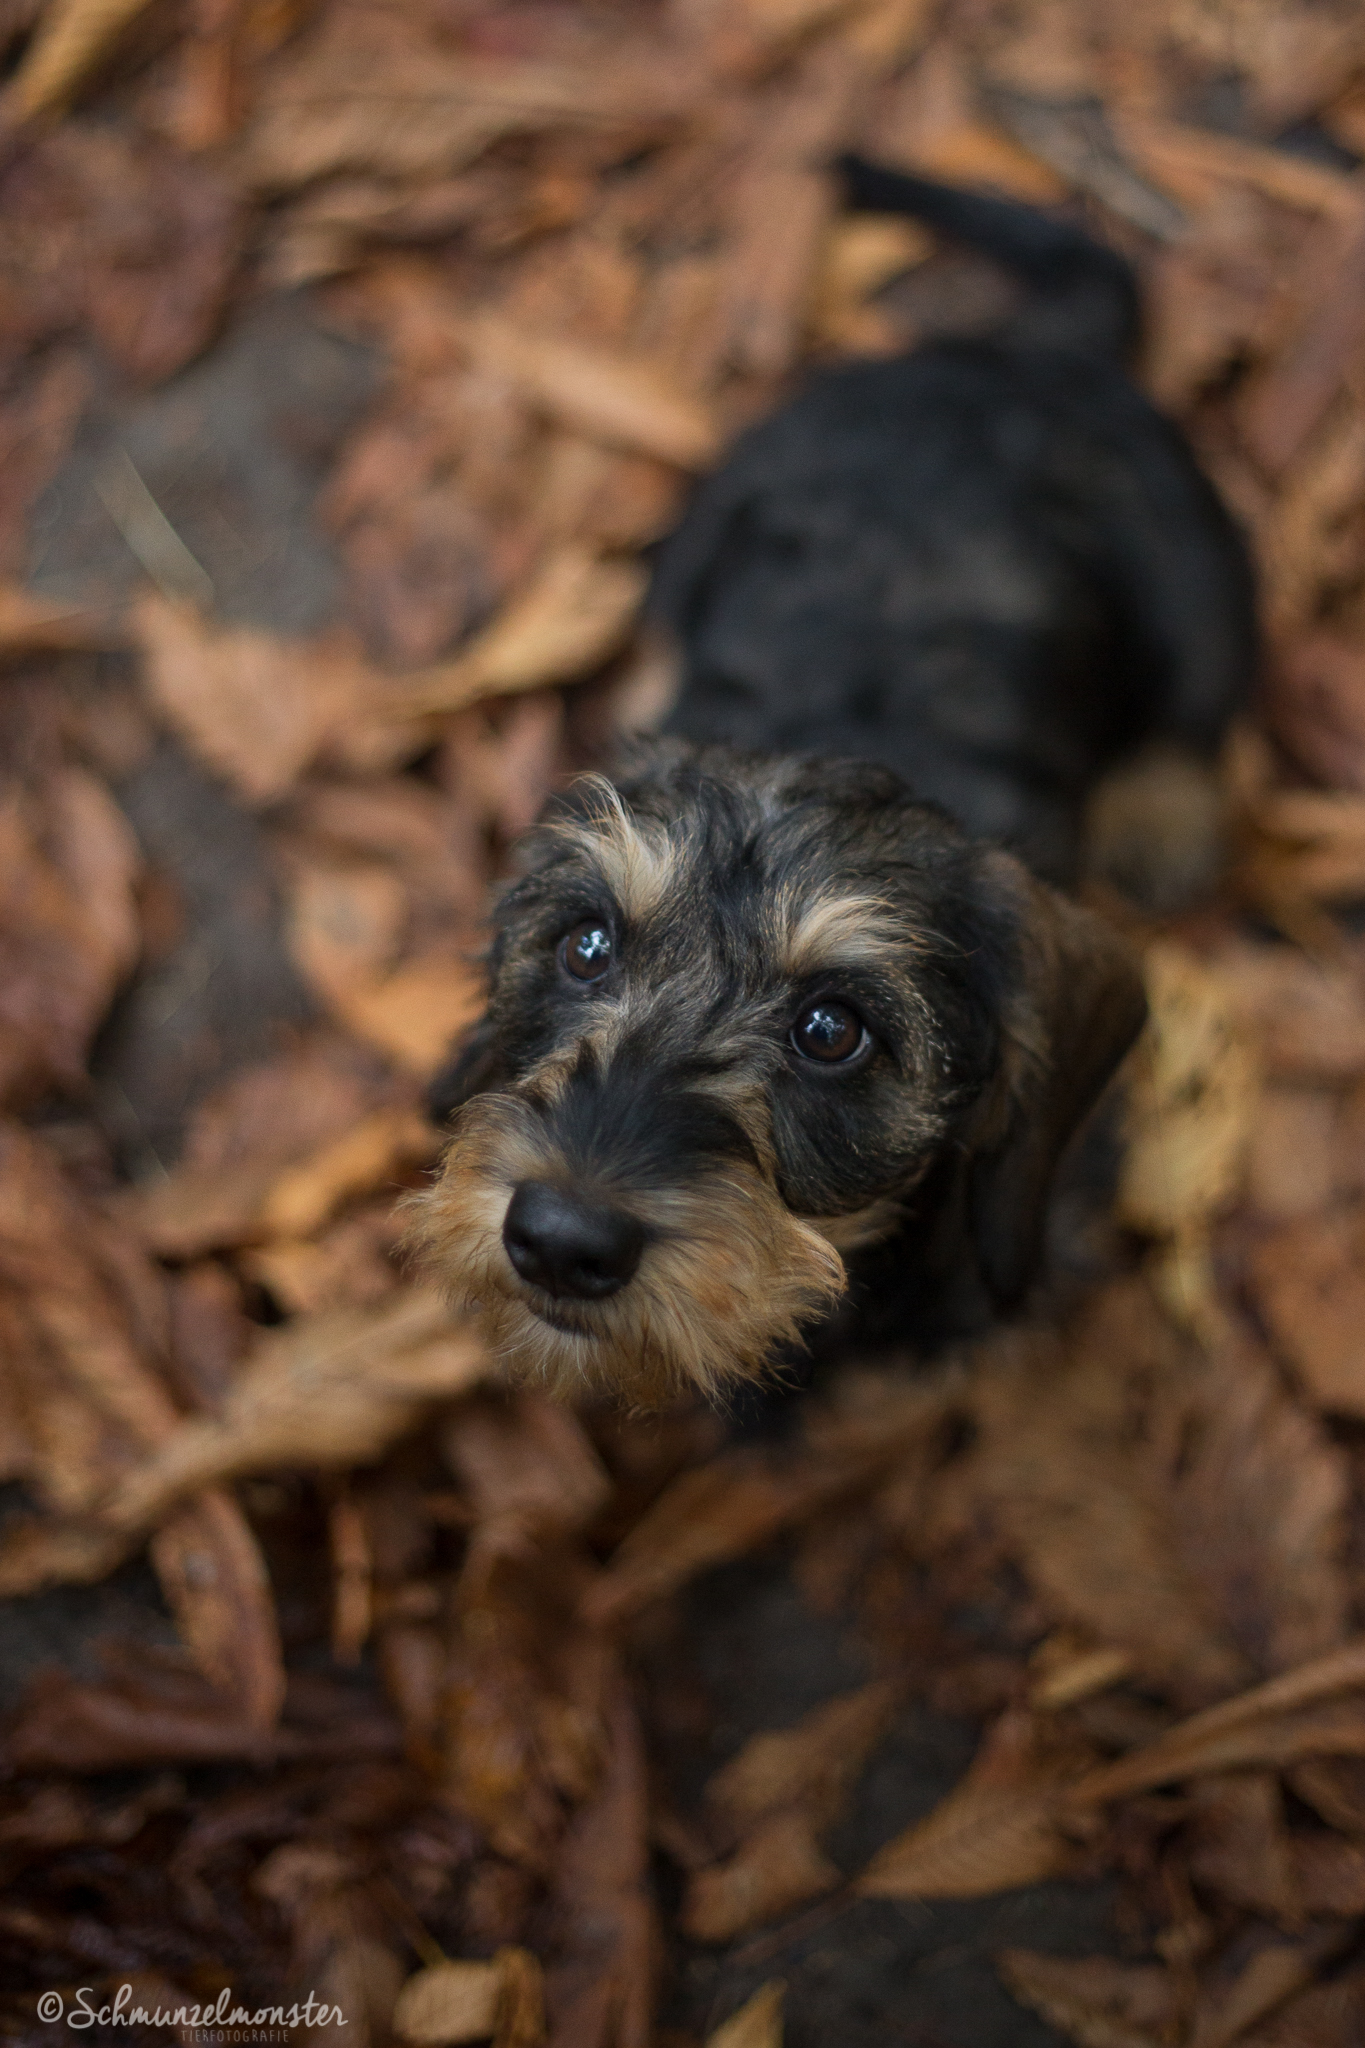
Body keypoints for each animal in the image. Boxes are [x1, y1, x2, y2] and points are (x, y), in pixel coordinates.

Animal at [412, 159, 1257, 1408]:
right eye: (586, 946)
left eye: (831, 1029)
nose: (559, 1238)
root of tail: (1025, 354)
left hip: (1204, 592)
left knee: (1190, 711)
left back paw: (1163, 818)